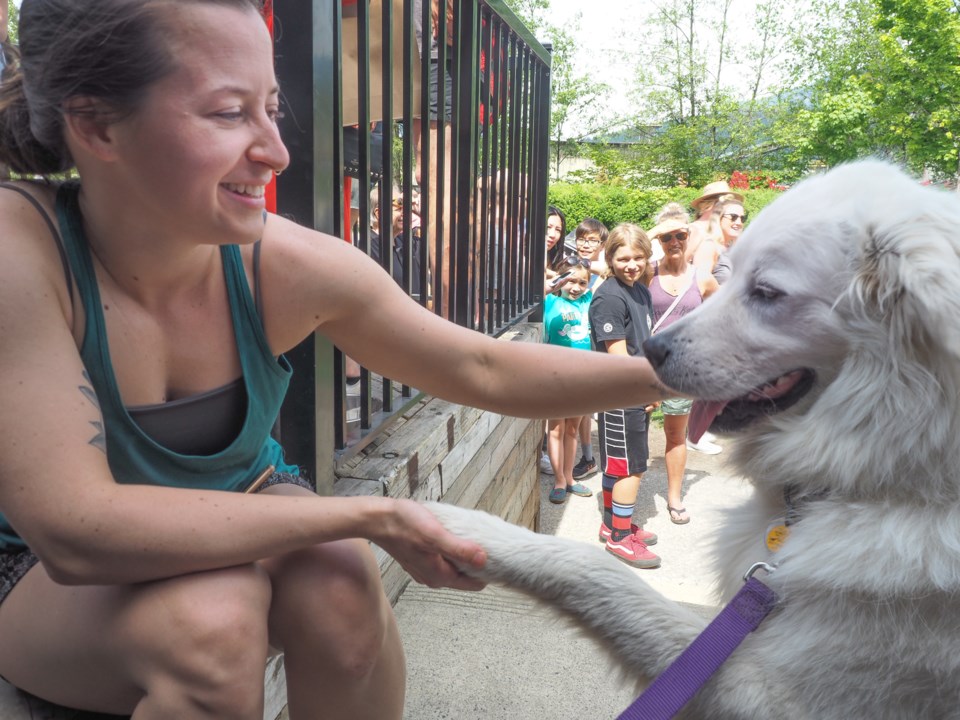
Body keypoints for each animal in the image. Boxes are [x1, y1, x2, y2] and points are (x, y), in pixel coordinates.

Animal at [428, 163, 960, 720]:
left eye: (767, 291)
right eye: (727, 274)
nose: (651, 351)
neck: (892, 475)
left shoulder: (757, 689)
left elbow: (595, 570)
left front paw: (465, 526)